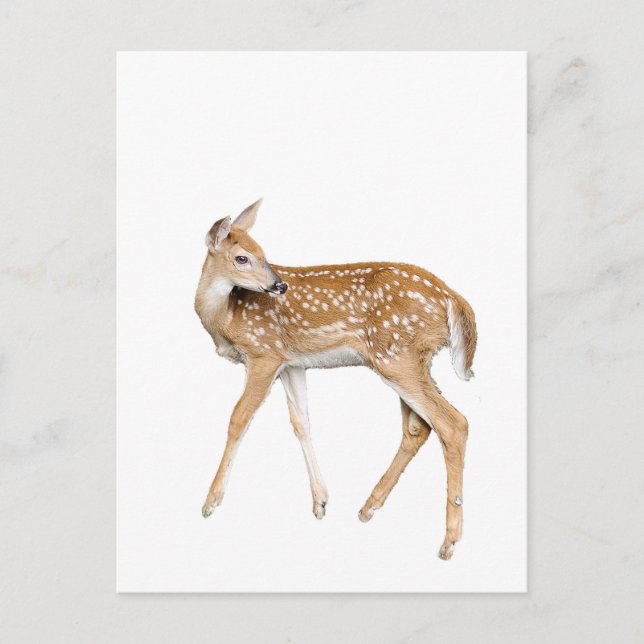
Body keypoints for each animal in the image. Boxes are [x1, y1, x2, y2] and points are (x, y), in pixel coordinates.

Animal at [195, 199, 477, 560]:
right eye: (243, 257)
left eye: (263, 253)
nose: (279, 286)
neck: (225, 315)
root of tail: (454, 299)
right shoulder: (291, 363)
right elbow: (301, 422)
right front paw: (320, 502)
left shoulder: (264, 353)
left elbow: (238, 419)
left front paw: (210, 502)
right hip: (409, 358)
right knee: (418, 428)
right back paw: (369, 507)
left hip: (397, 356)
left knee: (453, 423)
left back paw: (448, 540)